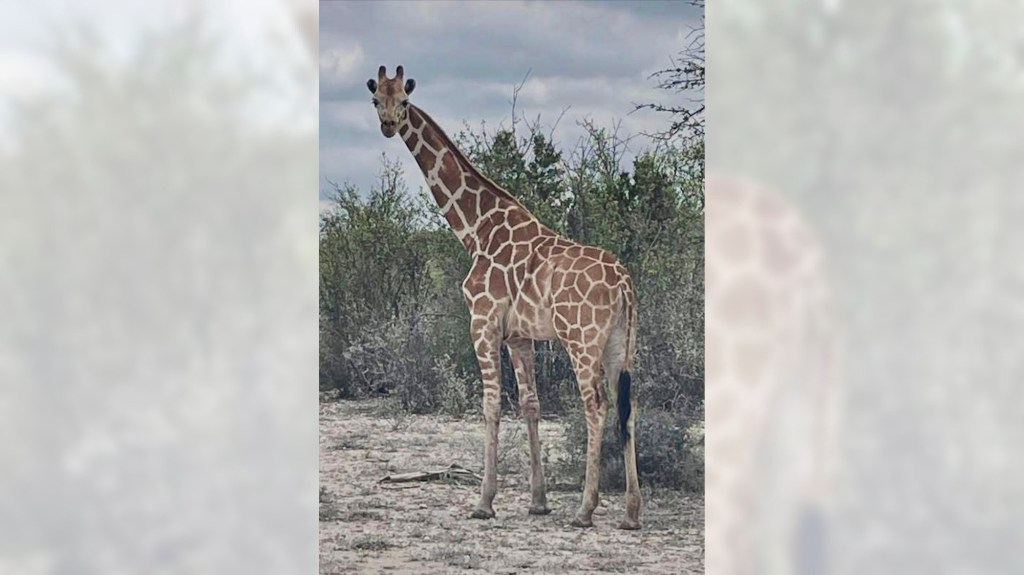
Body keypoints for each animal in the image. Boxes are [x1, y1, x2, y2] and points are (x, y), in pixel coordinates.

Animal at [367, 65, 642, 529]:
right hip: (622, 343)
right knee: (628, 406)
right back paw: (631, 512)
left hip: (581, 339)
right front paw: (538, 501)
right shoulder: (519, 335)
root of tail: (623, 282)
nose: (388, 125)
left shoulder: (483, 322)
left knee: (596, 405)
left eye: (403, 100)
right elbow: (531, 404)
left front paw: (484, 501)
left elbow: (491, 404)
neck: (476, 229)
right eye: (375, 100)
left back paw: (586, 509)